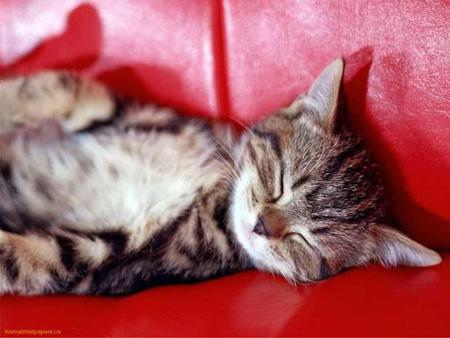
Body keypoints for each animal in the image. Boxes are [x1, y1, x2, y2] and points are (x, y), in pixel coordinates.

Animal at [0, 60, 440, 296]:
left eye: (305, 240)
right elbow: (73, 91)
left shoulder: (112, 256)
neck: (212, 187)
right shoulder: (139, 114)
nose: (261, 225)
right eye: (279, 180)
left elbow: (24, 258)